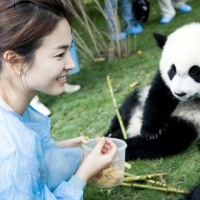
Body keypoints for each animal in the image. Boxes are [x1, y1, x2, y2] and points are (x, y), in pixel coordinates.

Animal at [105, 22, 200, 162]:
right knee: (125, 111)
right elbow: (158, 96)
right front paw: (151, 131)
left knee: (166, 141)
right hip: (139, 98)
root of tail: (133, 128)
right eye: (172, 71)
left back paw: (121, 146)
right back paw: (111, 135)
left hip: (185, 123)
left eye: (194, 71)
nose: (180, 94)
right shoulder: (163, 84)